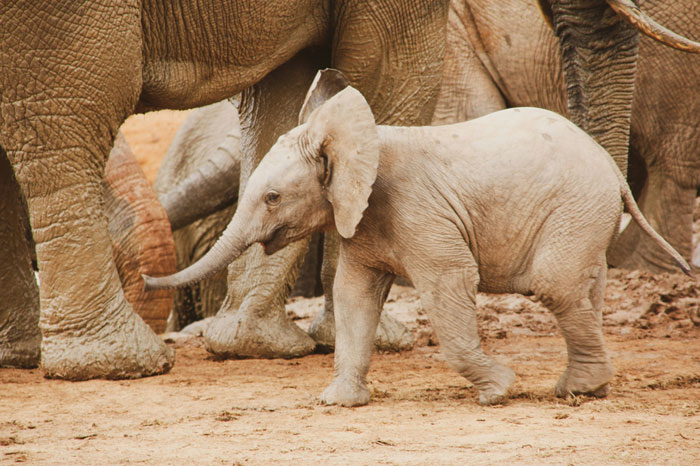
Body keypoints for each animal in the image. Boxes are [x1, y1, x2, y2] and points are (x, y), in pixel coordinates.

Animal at [0, 1, 448, 378]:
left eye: (273, 198)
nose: (145, 280)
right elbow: (386, 74)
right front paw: (382, 340)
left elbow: (283, 94)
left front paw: (252, 343)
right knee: (70, 117)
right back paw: (116, 365)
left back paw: (22, 356)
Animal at [144, 73, 689, 406]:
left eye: (273, 198)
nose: (146, 278)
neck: (355, 139)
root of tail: (612, 169)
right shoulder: (362, 222)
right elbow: (353, 296)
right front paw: (338, 403)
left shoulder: (420, 214)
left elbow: (450, 284)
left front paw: (498, 392)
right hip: (585, 216)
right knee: (584, 288)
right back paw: (584, 390)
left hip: (575, 208)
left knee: (555, 285)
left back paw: (575, 390)